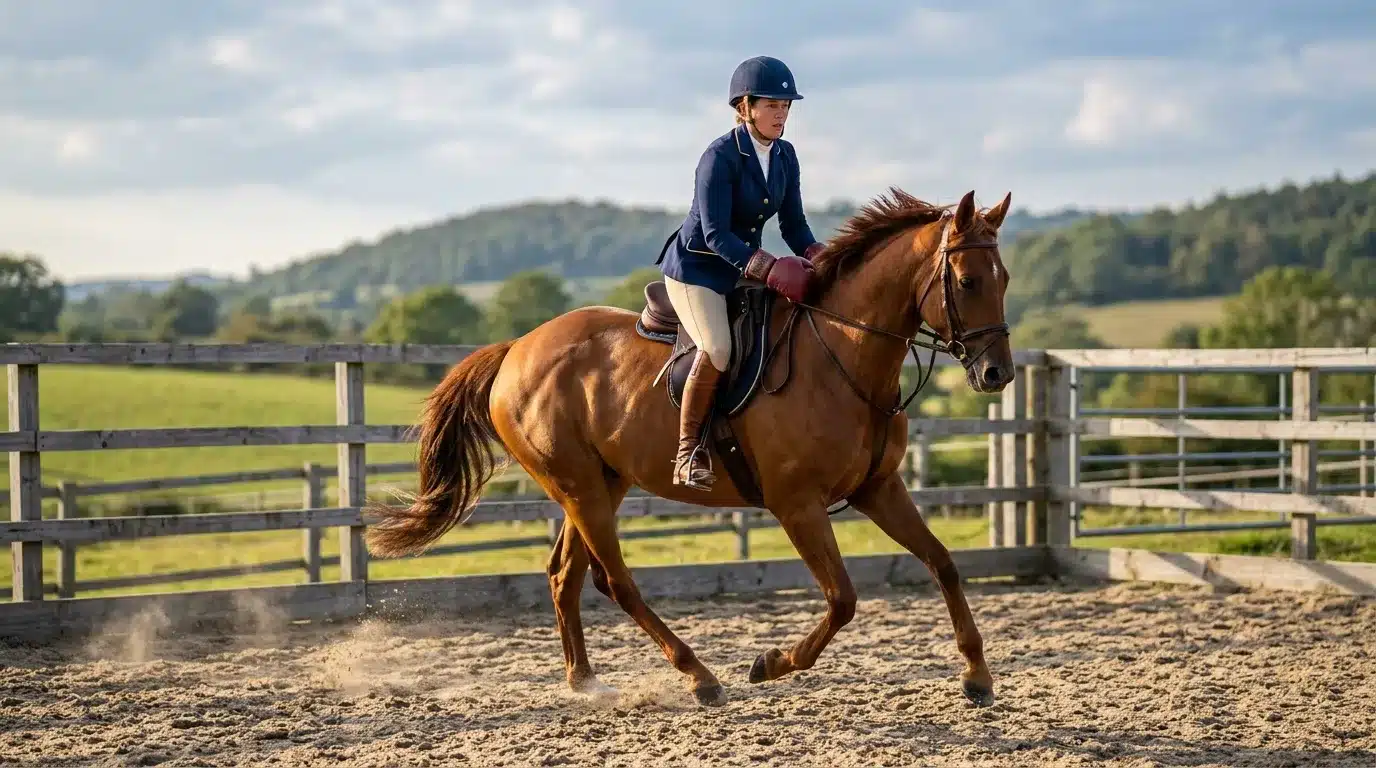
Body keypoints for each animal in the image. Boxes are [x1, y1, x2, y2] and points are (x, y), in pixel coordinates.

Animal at [364, 188, 1016, 708]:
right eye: (966, 282)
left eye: (1005, 279)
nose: (997, 375)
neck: (844, 354)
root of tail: (517, 349)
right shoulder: (797, 504)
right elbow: (843, 599)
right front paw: (770, 664)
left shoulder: (878, 489)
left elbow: (943, 563)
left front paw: (977, 676)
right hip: (579, 487)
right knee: (616, 582)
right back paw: (699, 676)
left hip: (599, 484)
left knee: (565, 575)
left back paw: (585, 682)